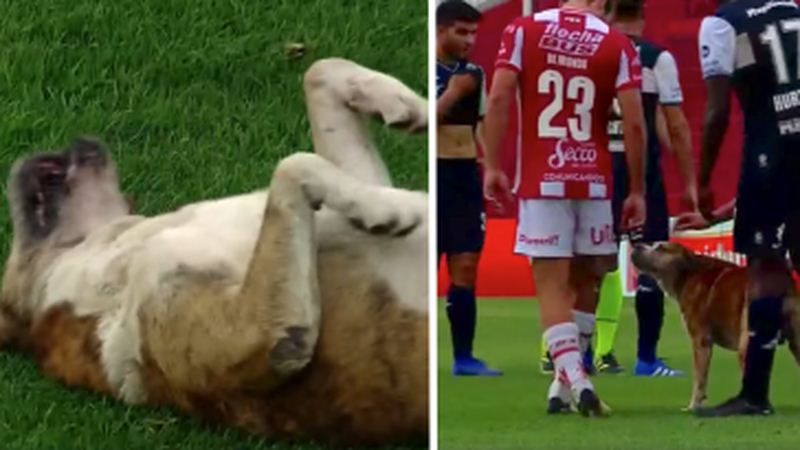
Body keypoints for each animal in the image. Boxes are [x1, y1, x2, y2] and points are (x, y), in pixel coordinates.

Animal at [0, 59, 432, 446]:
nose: (70, 140)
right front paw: (392, 207)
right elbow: (294, 164)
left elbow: (319, 70)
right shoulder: (267, 338)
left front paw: (409, 103)